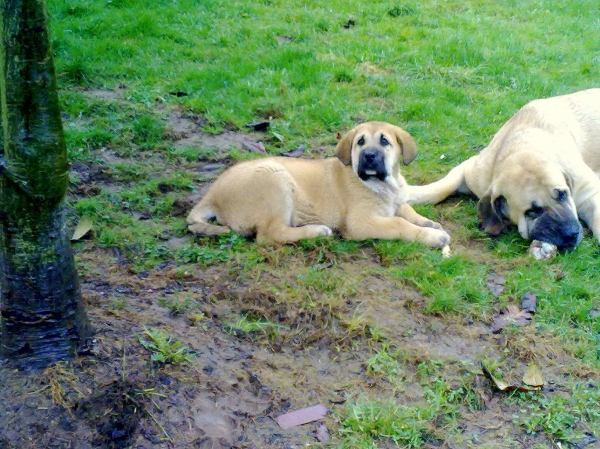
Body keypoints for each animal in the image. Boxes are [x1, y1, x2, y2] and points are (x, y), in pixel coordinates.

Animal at [188, 121, 450, 247]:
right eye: (360, 142)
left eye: (384, 141)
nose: (368, 157)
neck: (383, 183)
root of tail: (211, 195)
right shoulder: (360, 223)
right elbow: (399, 223)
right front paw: (433, 236)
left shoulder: (397, 201)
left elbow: (407, 210)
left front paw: (429, 223)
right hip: (275, 178)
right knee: (270, 234)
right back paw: (317, 231)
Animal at [408, 87, 600, 248]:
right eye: (532, 211)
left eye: (563, 195)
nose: (570, 234)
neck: (521, 147)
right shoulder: (472, 170)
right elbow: (442, 187)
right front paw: (411, 194)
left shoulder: (589, 191)